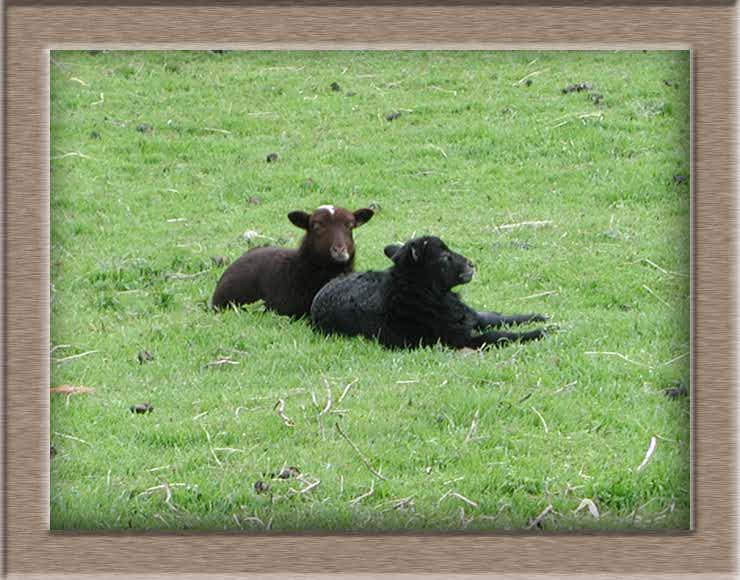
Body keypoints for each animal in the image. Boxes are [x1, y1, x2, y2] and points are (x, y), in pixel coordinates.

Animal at [310, 236, 548, 348]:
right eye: (444, 257)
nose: (471, 265)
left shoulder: (470, 319)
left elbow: (499, 319)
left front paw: (540, 319)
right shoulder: (458, 340)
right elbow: (498, 335)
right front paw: (540, 333)